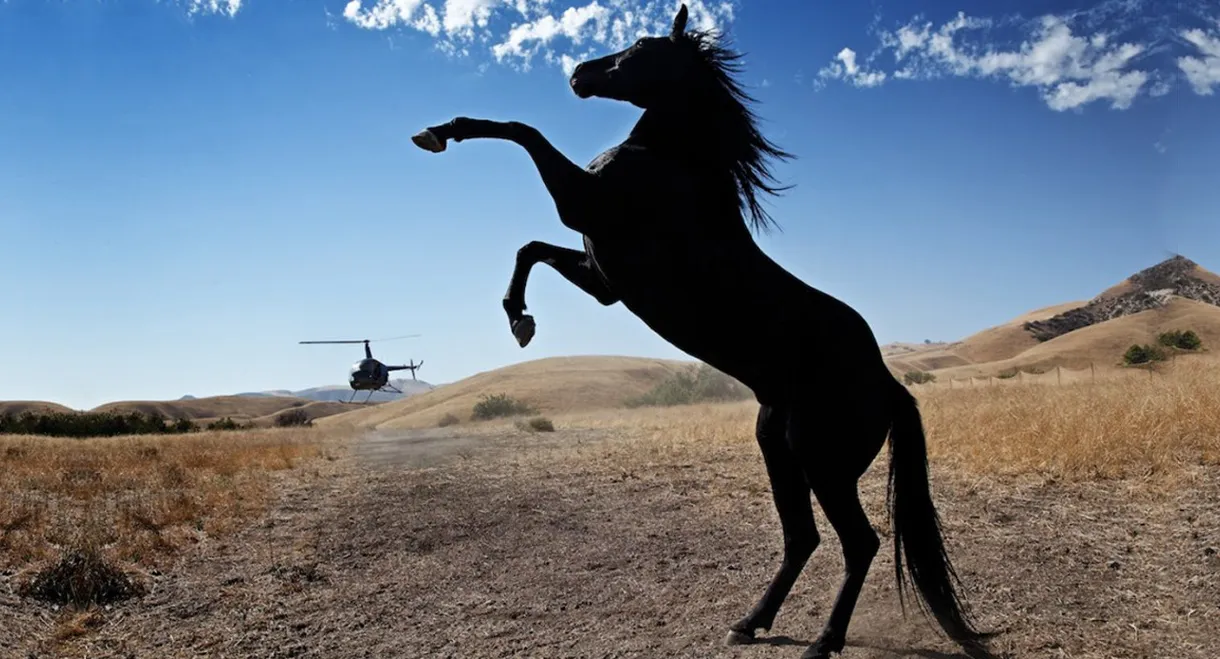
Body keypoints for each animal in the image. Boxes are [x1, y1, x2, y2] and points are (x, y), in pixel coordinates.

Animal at [410, 5, 991, 658]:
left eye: (642, 47)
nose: (579, 73)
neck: (673, 165)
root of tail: (888, 385)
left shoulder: (583, 209)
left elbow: (523, 132)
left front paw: (441, 132)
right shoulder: (603, 277)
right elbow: (530, 247)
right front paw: (520, 320)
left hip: (821, 459)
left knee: (858, 542)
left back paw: (822, 641)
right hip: (778, 446)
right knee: (803, 538)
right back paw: (750, 622)